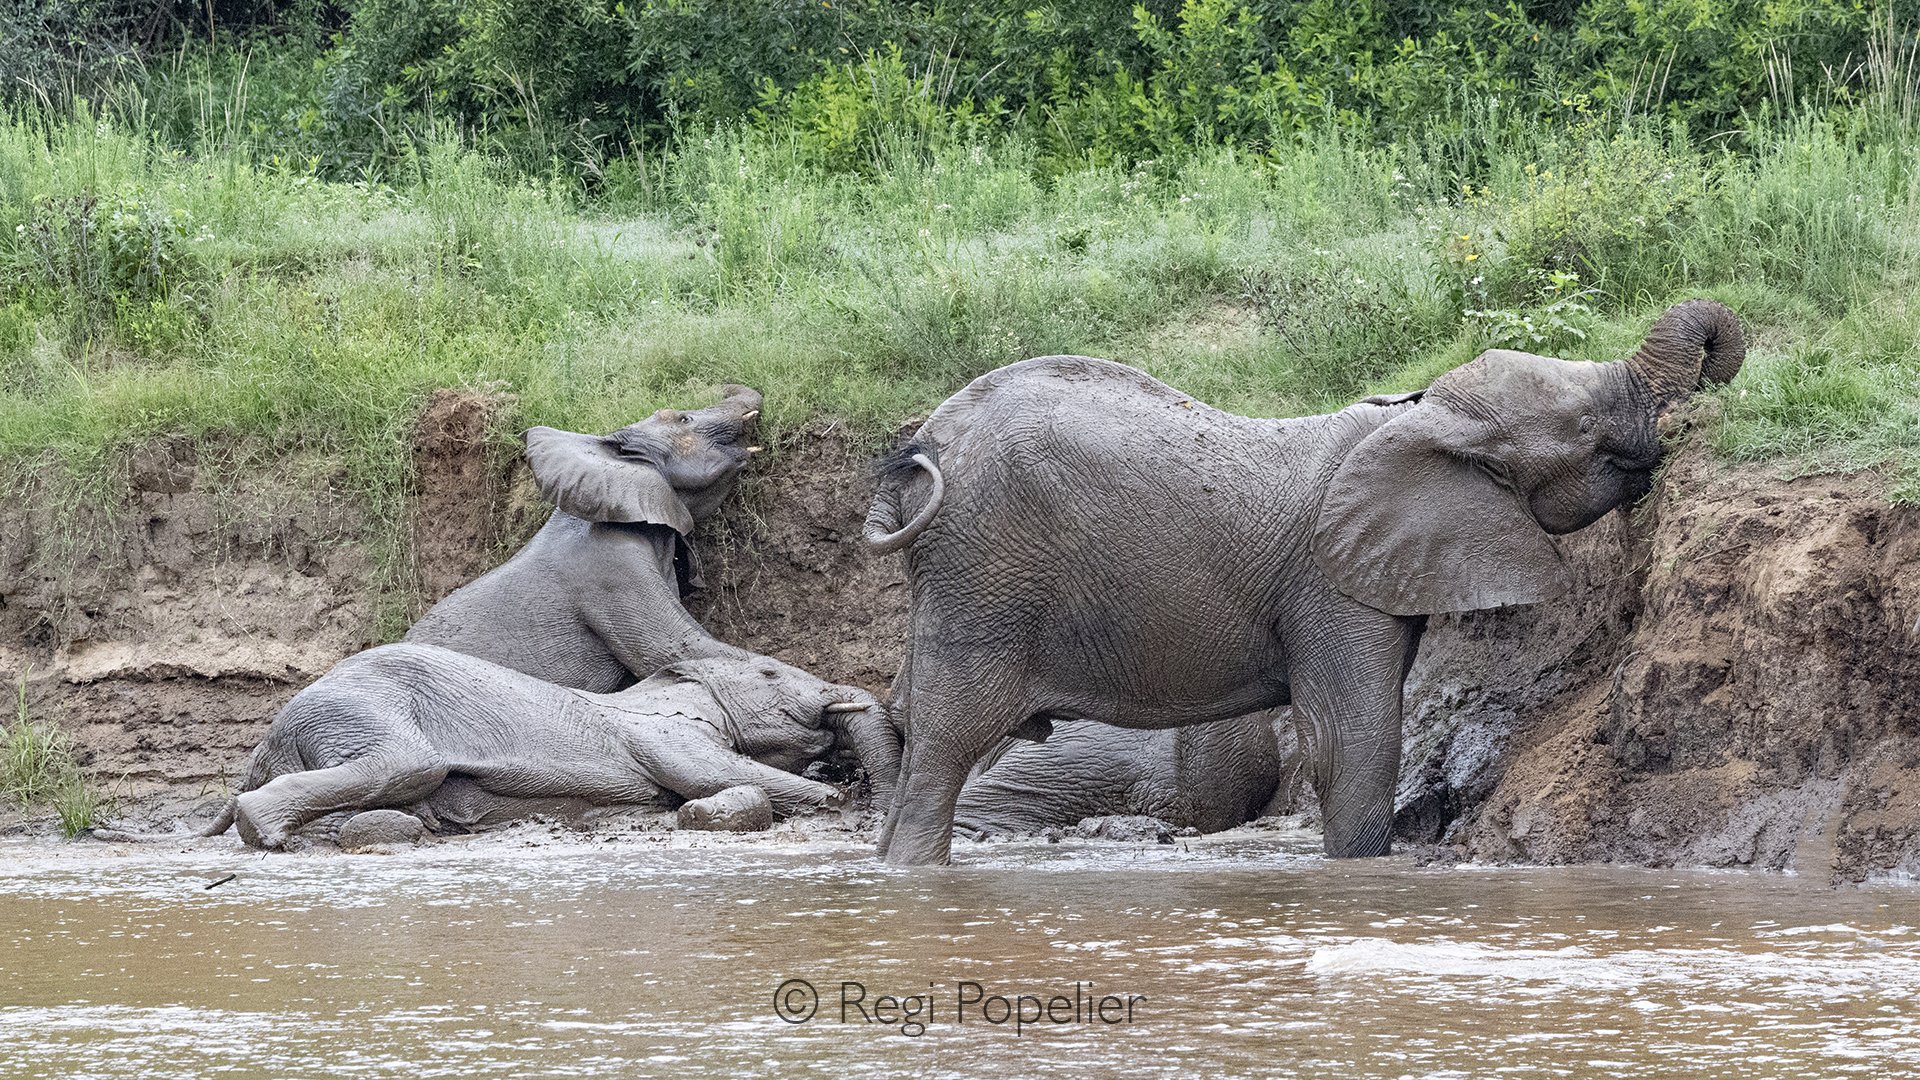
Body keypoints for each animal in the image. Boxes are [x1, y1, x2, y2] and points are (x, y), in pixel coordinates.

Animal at [202, 643, 903, 850]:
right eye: (771, 674)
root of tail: (269, 738)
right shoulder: (663, 730)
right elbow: (708, 775)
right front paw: (838, 798)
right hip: (359, 708)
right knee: (407, 766)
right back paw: (267, 836)